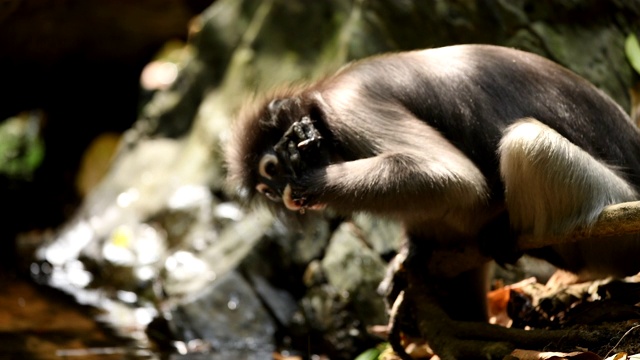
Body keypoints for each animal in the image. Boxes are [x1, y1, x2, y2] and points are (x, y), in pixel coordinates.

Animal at [224, 44, 640, 358]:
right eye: (266, 189)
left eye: (273, 168)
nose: (280, 192)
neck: (319, 99)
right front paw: (410, 256)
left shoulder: (349, 104)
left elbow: (455, 179)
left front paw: (310, 185)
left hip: (611, 215)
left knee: (525, 142)